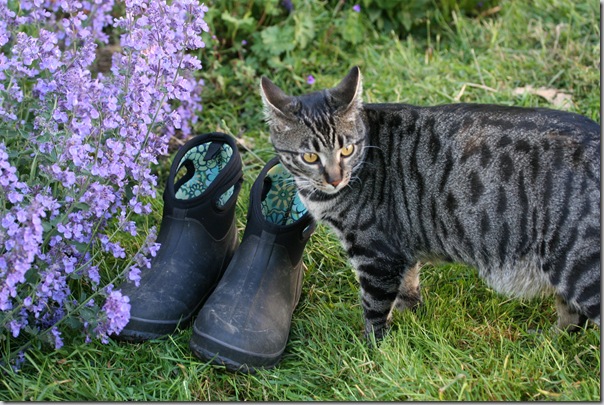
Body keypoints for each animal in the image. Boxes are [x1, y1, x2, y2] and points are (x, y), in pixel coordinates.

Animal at [258, 67, 600, 340]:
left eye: (347, 150)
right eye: (310, 156)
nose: (334, 178)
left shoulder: (375, 253)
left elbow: (374, 306)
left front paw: (371, 349)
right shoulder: (400, 249)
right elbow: (407, 287)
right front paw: (411, 319)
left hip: (580, 266)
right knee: (572, 318)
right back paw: (547, 339)